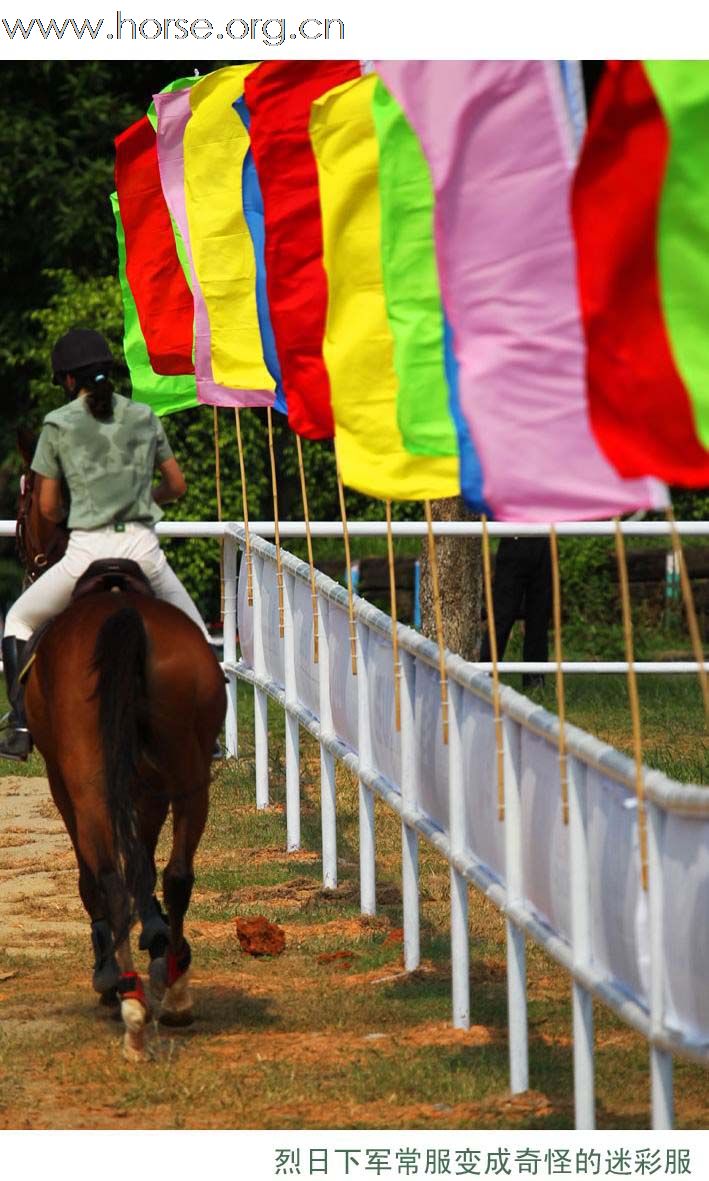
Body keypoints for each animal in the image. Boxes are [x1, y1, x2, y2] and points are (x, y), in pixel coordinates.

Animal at [13, 432, 225, 1062]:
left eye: (25, 494)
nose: (27, 556)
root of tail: (124, 611)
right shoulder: (144, 781)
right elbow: (146, 863)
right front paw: (155, 936)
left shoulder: (64, 780)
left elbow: (102, 873)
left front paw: (112, 965)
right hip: (187, 771)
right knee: (178, 872)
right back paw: (174, 990)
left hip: (83, 778)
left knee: (104, 873)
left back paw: (125, 995)